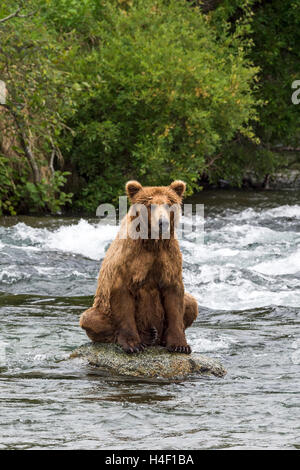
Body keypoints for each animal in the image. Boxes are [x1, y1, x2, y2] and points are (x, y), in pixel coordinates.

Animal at [78, 180, 198, 352]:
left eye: (169, 204)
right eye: (150, 204)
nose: (162, 223)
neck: (152, 243)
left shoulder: (169, 258)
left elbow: (175, 299)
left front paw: (180, 345)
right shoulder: (129, 259)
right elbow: (123, 297)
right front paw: (133, 345)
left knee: (191, 303)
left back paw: (158, 337)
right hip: (102, 311)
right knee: (89, 318)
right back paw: (147, 336)